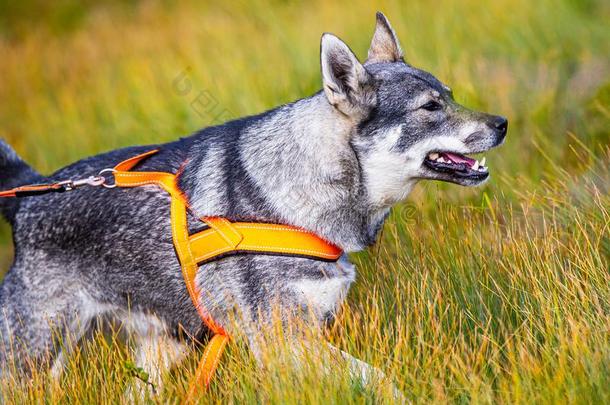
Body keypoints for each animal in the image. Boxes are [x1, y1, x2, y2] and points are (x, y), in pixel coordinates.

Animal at [0, 11, 504, 394]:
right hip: (34, 363)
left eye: (450, 96)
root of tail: (29, 195)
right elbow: (381, 379)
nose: (502, 124)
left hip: (160, 355)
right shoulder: (284, 344)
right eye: (430, 108)